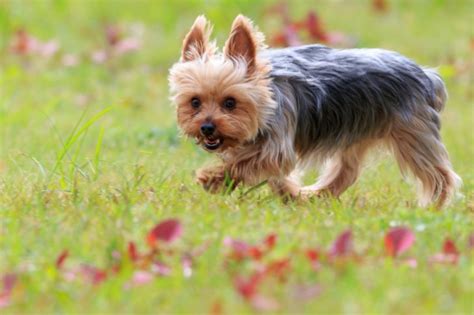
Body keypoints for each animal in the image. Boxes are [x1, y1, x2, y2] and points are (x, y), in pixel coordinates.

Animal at [168, 15, 462, 207]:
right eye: (195, 102)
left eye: (230, 102)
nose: (207, 128)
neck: (266, 97)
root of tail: (426, 74)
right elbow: (274, 174)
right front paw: (292, 195)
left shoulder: (277, 142)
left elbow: (245, 163)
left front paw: (212, 178)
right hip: (357, 132)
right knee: (346, 172)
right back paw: (315, 195)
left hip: (414, 133)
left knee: (439, 174)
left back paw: (435, 206)